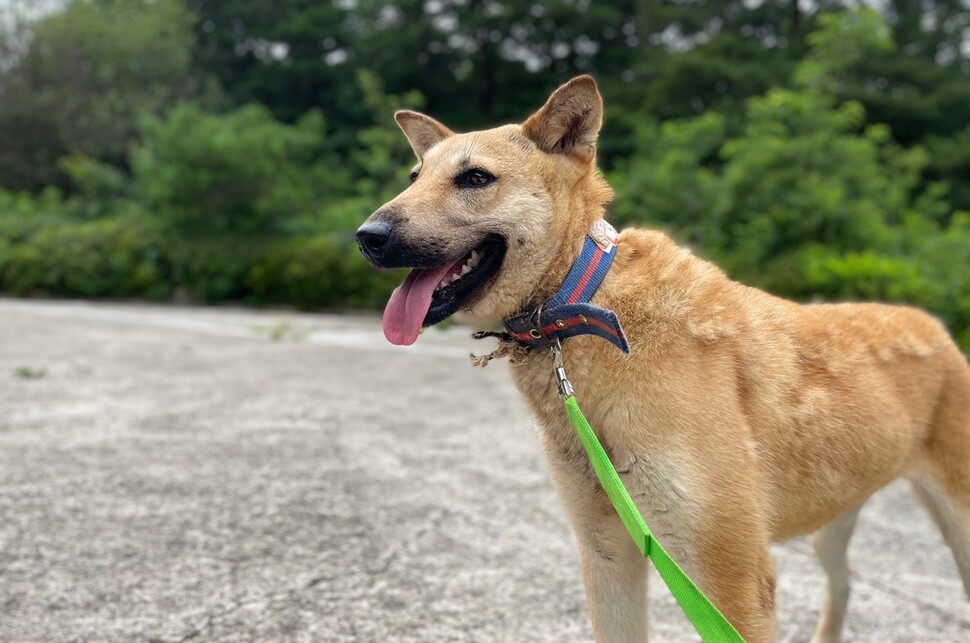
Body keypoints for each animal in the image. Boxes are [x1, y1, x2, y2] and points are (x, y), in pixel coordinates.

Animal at [356, 76, 968, 643]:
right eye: (414, 179)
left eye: (475, 179)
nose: (367, 236)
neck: (582, 302)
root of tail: (933, 326)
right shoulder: (607, 554)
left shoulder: (731, 580)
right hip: (834, 519)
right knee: (843, 583)